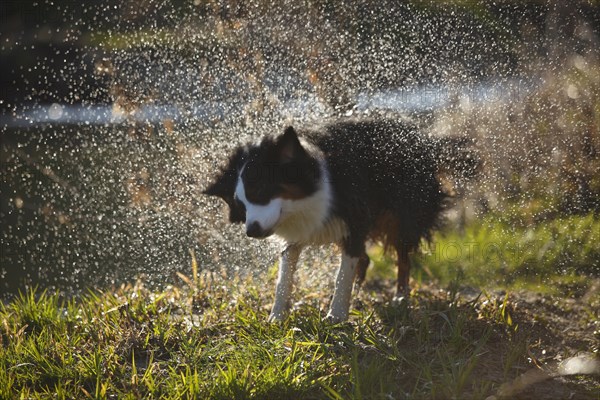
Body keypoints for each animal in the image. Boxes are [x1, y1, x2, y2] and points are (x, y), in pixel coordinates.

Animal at [204, 119, 476, 322]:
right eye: (241, 206)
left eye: (259, 191)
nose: (251, 231)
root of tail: (423, 137)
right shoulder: (300, 232)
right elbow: (285, 274)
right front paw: (277, 317)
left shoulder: (352, 217)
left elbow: (343, 274)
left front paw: (335, 316)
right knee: (366, 258)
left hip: (404, 212)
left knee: (402, 255)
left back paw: (400, 298)